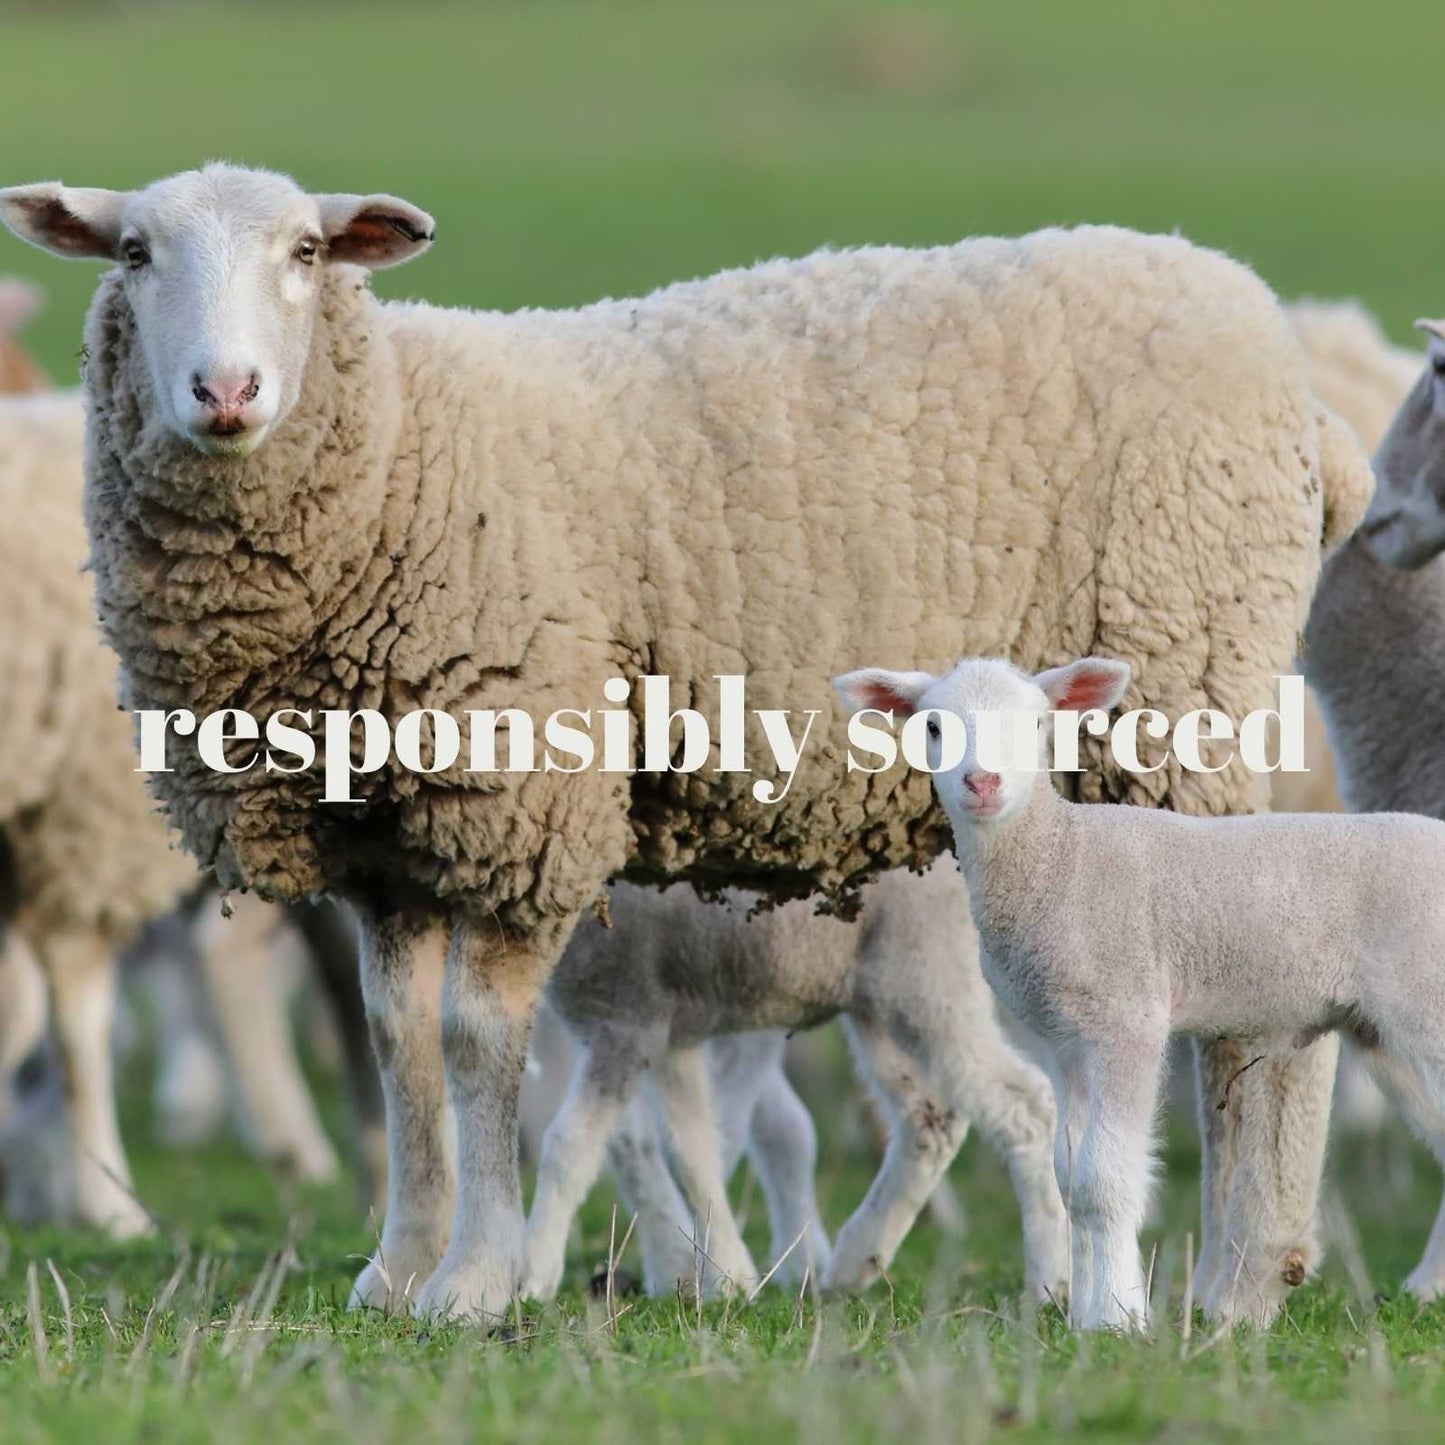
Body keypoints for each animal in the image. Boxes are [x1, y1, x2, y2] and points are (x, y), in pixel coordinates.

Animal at [526, 864, 1065, 1303]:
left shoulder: (628, 1021)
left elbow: (570, 1146)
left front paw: (533, 1275)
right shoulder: (666, 1039)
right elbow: (690, 1150)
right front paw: (723, 1275)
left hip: (929, 978)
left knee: (1025, 1106)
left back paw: (1049, 1280)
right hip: (878, 1005)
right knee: (930, 1117)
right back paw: (855, 1260)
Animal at [835, 654, 1445, 1328]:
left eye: (1036, 723)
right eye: (933, 726)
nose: (983, 783)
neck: (1060, 857)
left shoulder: (1126, 1016)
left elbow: (1105, 1178)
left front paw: (1118, 1316)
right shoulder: (1067, 1038)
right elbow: (1069, 1178)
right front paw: (1083, 1315)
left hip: (1427, 999)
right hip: (1384, 1031)